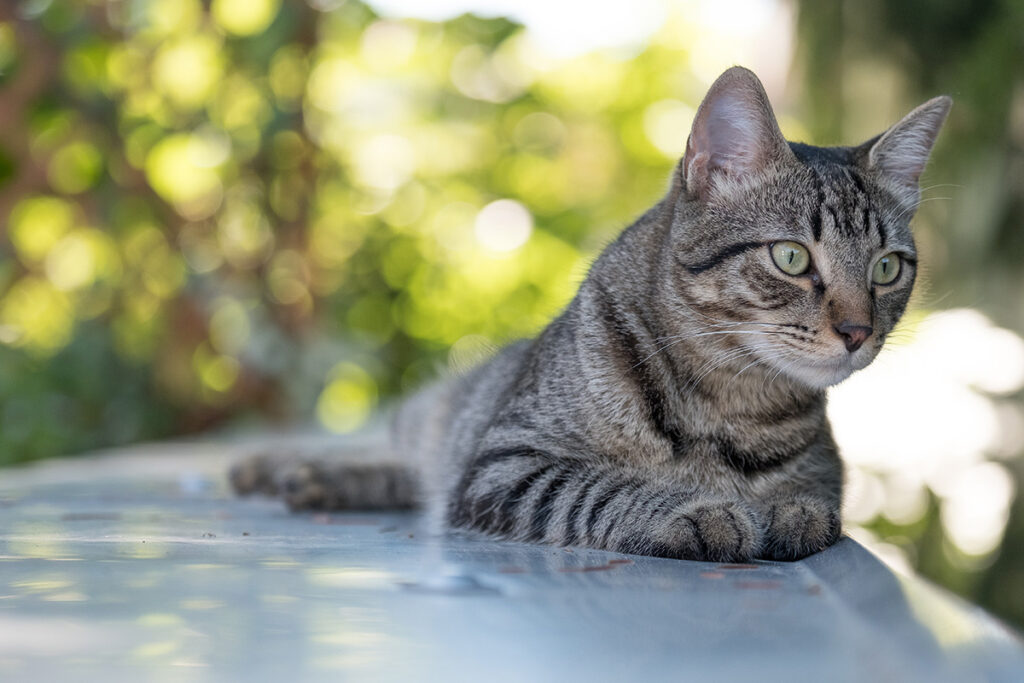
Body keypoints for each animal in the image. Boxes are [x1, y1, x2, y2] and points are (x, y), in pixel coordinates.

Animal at [232, 66, 950, 565]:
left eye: (888, 268)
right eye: (792, 257)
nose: (858, 332)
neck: (732, 402)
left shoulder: (828, 473)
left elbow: (812, 500)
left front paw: (785, 508)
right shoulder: (505, 461)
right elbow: (603, 486)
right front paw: (700, 509)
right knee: (399, 450)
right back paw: (283, 467)